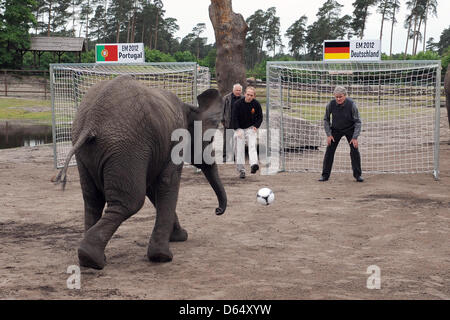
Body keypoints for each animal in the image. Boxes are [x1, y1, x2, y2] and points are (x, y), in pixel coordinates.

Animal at [54, 75, 227, 270]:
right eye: (210, 139)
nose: (217, 210)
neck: (190, 107)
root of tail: (92, 121)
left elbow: (153, 189)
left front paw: (179, 237)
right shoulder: (174, 143)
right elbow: (166, 182)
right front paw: (162, 256)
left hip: (88, 151)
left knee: (92, 200)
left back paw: (88, 259)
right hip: (126, 148)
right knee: (129, 202)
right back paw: (92, 258)